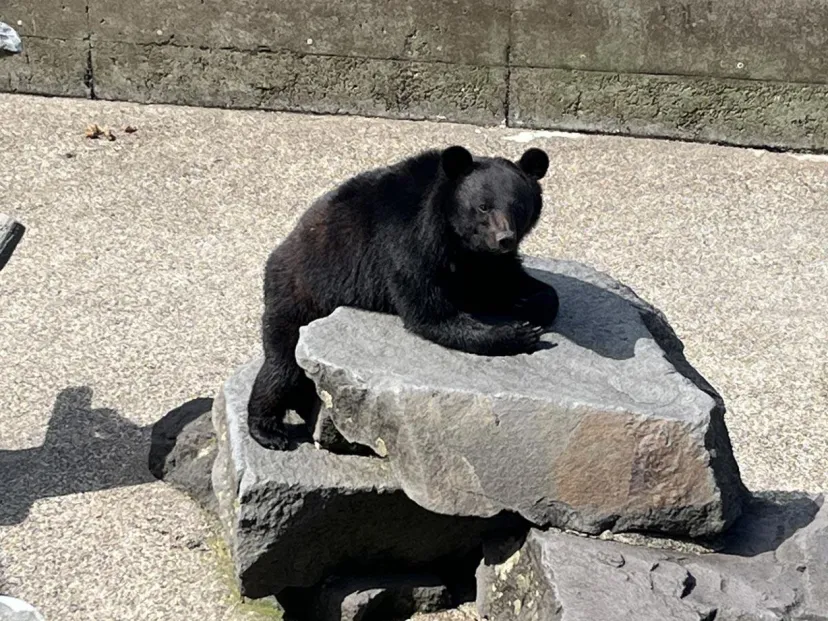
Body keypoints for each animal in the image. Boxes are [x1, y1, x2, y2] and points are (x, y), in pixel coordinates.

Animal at [247, 145, 560, 450]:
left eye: (519, 206)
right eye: (483, 206)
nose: (504, 238)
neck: (453, 233)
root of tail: (280, 249)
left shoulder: (484, 260)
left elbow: (509, 281)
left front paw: (527, 304)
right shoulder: (406, 241)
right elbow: (430, 312)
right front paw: (519, 334)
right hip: (300, 294)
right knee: (283, 365)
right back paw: (268, 430)